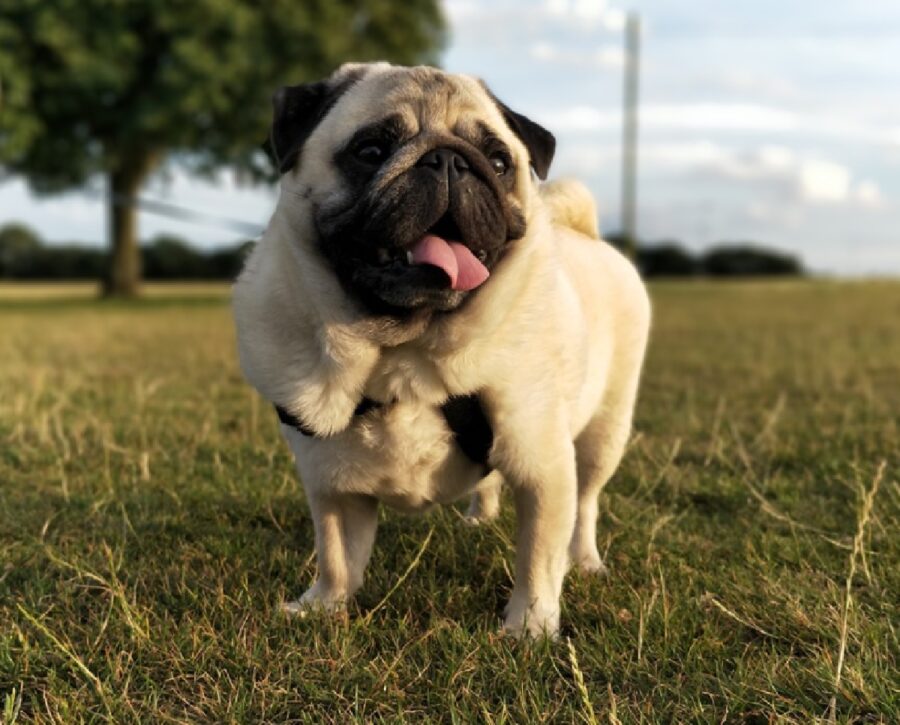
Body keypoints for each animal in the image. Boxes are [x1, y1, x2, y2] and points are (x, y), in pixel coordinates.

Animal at [232, 65, 652, 636]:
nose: (449, 160)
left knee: (585, 506)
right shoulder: (330, 485)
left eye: (498, 162)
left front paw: (529, 627)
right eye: (370, 150)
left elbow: (538, 557)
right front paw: (323, 605)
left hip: (603, 432)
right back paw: (481, 516)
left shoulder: (544, 466)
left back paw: (584, 560)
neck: (403, 354)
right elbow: (337, 557)